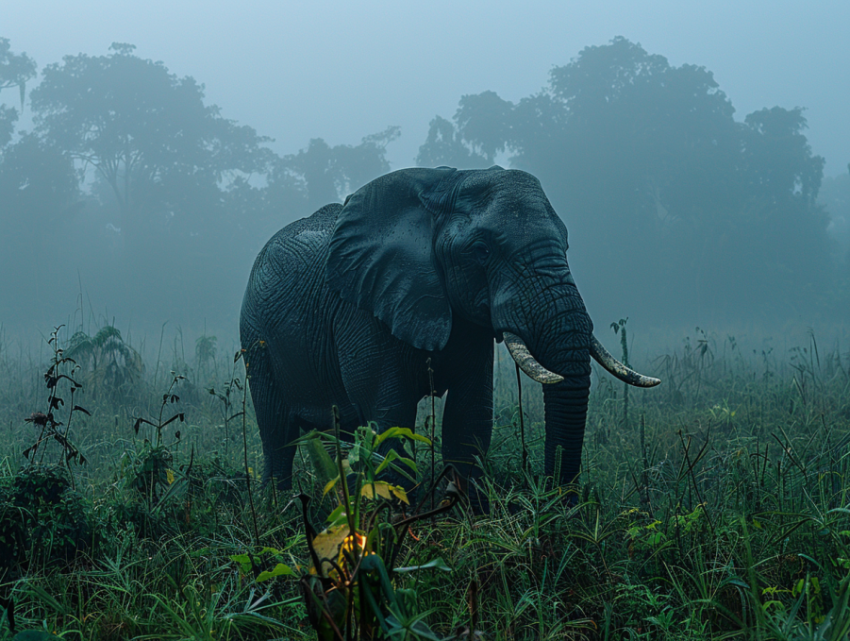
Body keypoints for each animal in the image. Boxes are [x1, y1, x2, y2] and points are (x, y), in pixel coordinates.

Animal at [238, 165, 656, 500]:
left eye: (567, 244)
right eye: (482, 250)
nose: (558, 500)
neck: (445, 185)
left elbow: (469, 418)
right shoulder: (364, 312)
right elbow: (391, 420)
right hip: (255, 337)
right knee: (277, 432)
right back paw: (280, 510)